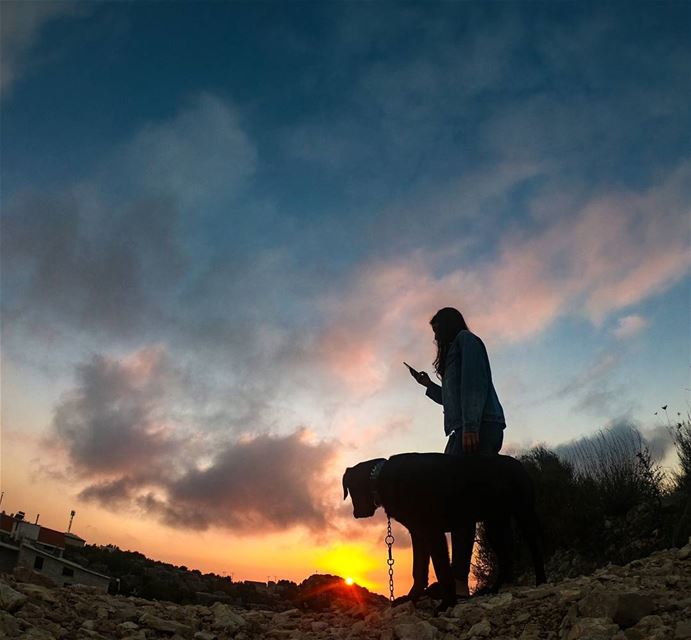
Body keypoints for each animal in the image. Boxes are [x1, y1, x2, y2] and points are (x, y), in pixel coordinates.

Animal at [344, 450, 548, 608]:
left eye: (351, 489)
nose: (356, 514)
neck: (380, 477)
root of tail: (520, 466)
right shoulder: (419, 533)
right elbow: (418, 570)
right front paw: (411, 598)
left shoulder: (433, 532)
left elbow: (442, 569)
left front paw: (448, 603)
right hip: (494, 525)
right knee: (506, 558)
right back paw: (493, 589)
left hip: (523, 514)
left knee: (535, 548)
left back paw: (541, 581)